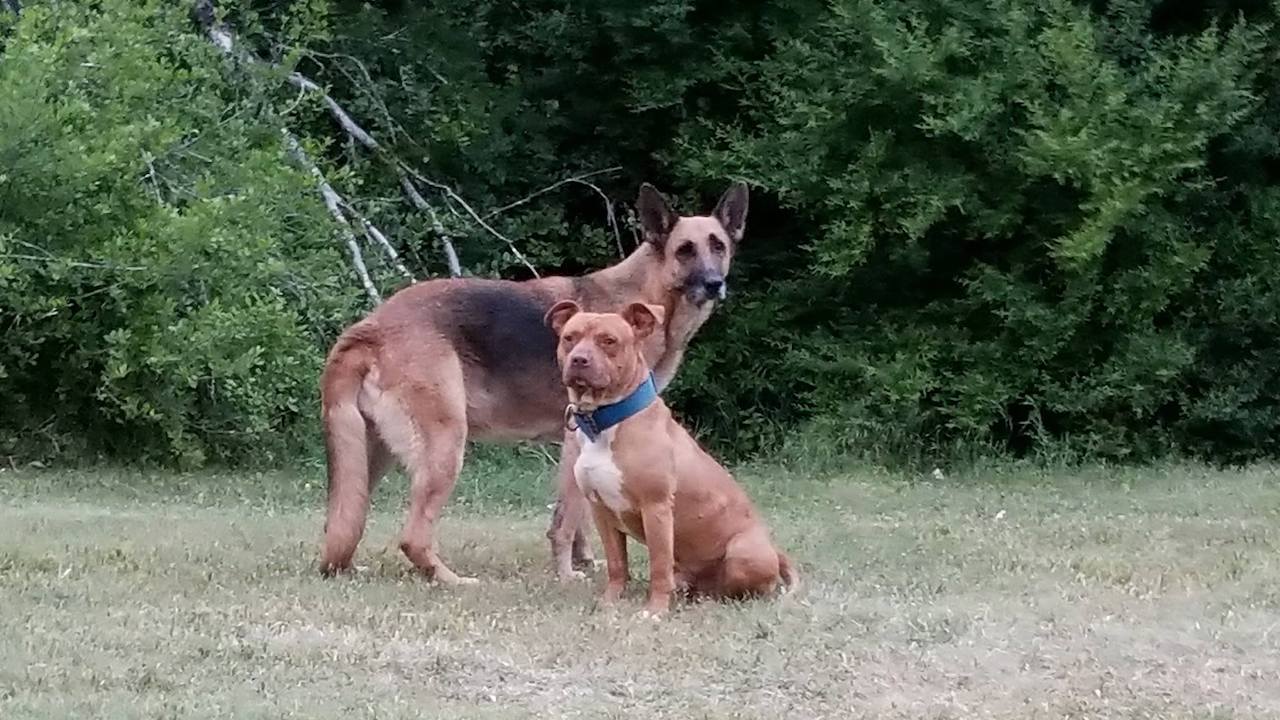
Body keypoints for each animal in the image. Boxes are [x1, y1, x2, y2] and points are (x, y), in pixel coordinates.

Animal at [313, 179, 747, 584]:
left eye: (718, 246)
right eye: (684, 250)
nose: (714, 283)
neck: (649, 295)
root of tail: (371, 327)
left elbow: (580, 518)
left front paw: (584, 563)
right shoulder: (575, 437)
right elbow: (566, 520)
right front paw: (567, 576)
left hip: (369, 457)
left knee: (340, 525)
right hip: (445, 447)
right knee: (413, 536)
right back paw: (452, 580)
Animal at [542, 299, 798, 614]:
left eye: (609, 341)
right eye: (569, 337)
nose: (579, 359)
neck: (605, 422)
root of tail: (775, 550)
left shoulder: (657, 508)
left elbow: (659, 565)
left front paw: (655, 610)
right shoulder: (601, 510)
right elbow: (617, 564)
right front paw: (610, 601)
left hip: (742, 552)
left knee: (749, 588)